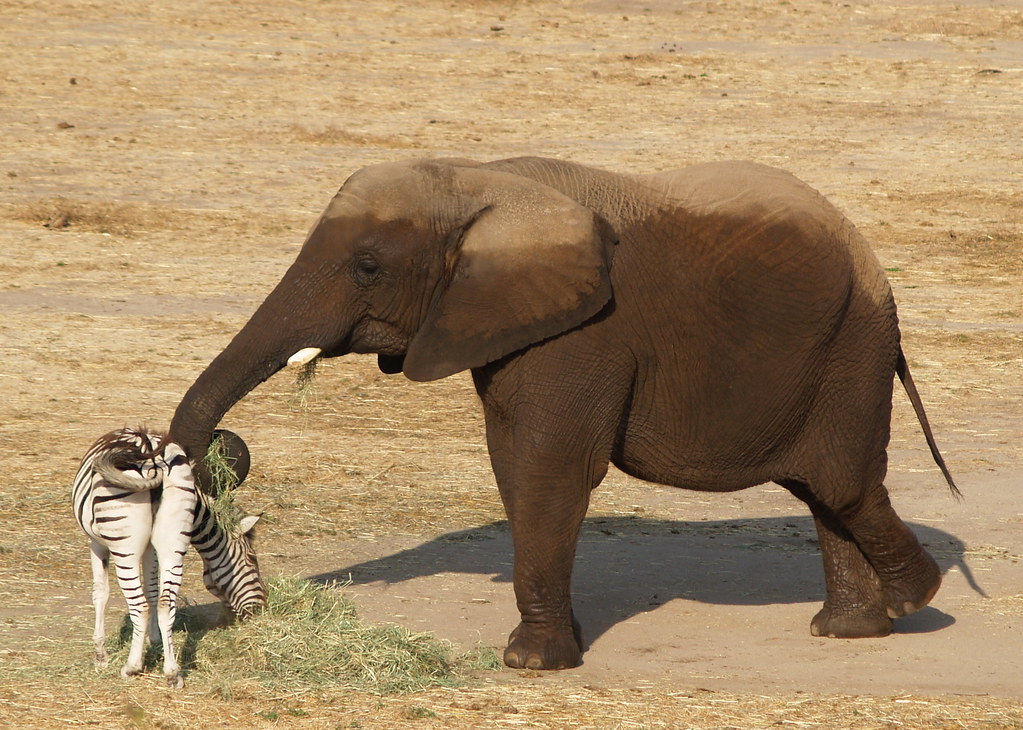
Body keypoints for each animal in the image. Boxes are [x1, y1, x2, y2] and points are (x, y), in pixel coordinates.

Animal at [168, 156, 959, 670]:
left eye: (368, 267)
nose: (228, 453)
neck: (479, 181)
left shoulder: (583, 332)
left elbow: (551, 468)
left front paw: (528, 664)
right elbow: (515, 468)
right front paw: (561, 648)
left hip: (852, 346)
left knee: (842, 484)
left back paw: (914, 604)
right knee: (823, 490)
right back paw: (849, 632)